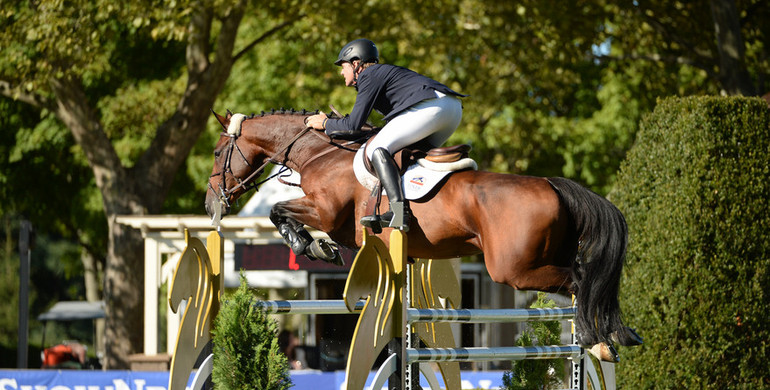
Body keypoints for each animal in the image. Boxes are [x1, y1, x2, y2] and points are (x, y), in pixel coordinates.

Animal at [201, 108, 640, 358]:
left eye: (219, 151)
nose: (209, 205)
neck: (321, 153)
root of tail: (552, 185)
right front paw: (319, 247)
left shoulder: (324, 210)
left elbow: (278, 210)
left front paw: (308, 244)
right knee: (585, 281)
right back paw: (613, 335)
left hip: (511, 268)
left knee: (581, 280)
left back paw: (597, 339)